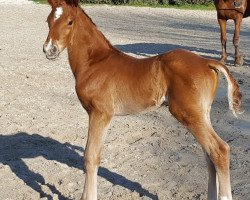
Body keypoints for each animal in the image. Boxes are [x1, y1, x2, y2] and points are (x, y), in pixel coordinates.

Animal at [43, 0, 242, 199]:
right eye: (48, 21)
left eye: (70, 22)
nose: (49, 49)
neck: (95, 62)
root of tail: (207, 62)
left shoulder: (100, 113)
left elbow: (91, 157)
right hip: (202, 113)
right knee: (209, 155)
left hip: (188, 113)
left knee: (219, 150)